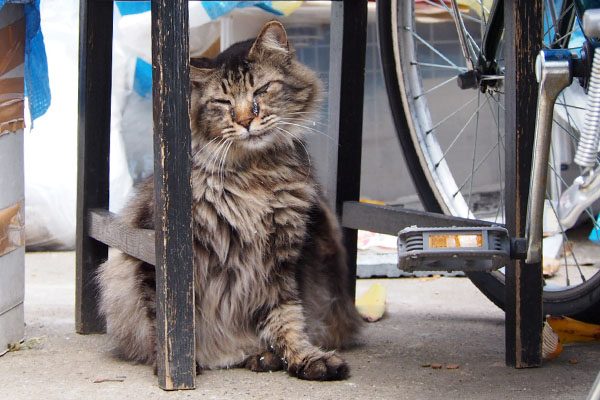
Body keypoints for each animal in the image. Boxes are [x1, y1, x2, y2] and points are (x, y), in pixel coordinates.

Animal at [96, 19, 364, 382]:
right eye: (223, 102)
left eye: (261, 91)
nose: (246, 120)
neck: (254, 175)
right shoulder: (159, 254)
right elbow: (162, 319)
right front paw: (175, 363)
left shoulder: (283, 259)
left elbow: (288, 317)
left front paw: (304, 357)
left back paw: (263, 356)